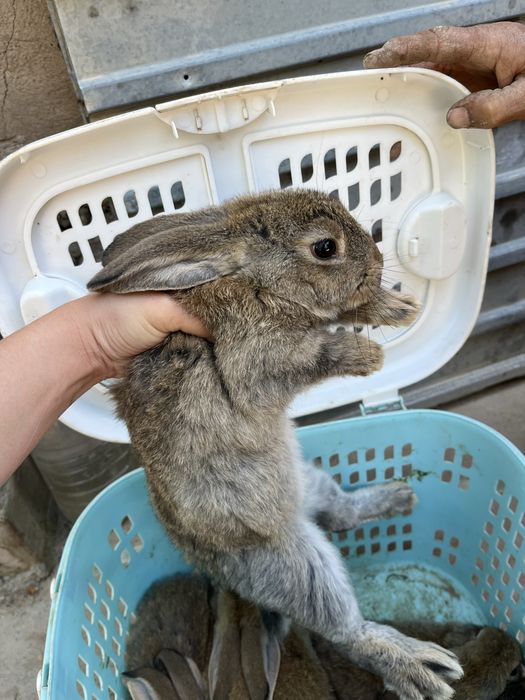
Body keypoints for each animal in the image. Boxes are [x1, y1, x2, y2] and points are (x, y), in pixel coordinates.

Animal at [88, 188, 462, 700]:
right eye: (325, 248)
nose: (378, 263)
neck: (258, 284)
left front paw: (396, 307)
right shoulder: (256, 361)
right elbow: (313, 352)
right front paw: (366, 354)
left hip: (312, 481)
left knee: (340, 514)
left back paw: (400, 496)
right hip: (295, 564)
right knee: (346, 630)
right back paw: (420, 668)